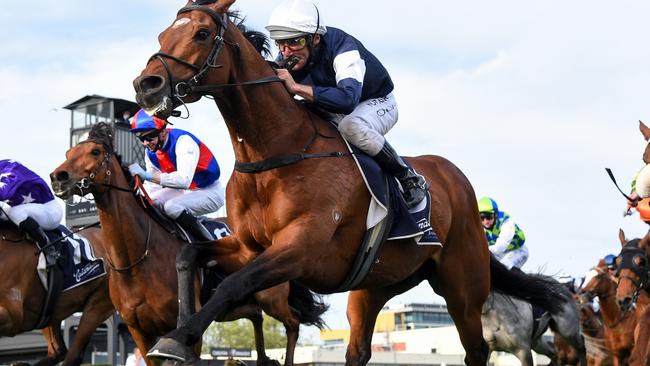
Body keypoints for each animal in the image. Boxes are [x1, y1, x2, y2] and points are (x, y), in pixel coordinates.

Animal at [49, 123, 330, 366]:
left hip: (271, 296)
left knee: (292, 322)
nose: (58, 177)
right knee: (256, 315)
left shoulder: (182, 331)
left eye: (95, 152)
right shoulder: (138, 331)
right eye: (68, 153)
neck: (136, 260)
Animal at [132, 1, 568, 364]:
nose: (146, 85)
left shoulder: (300, 247)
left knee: (476, 350)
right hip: (374, 285)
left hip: (463, 285)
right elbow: (188, 255)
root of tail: (457, 180)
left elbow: (234, 285)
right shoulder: (247, 247)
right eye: (162, 35)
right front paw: (179, 335)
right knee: (358, 351)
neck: (277, 150)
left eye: (202, 33)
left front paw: (177, 339)